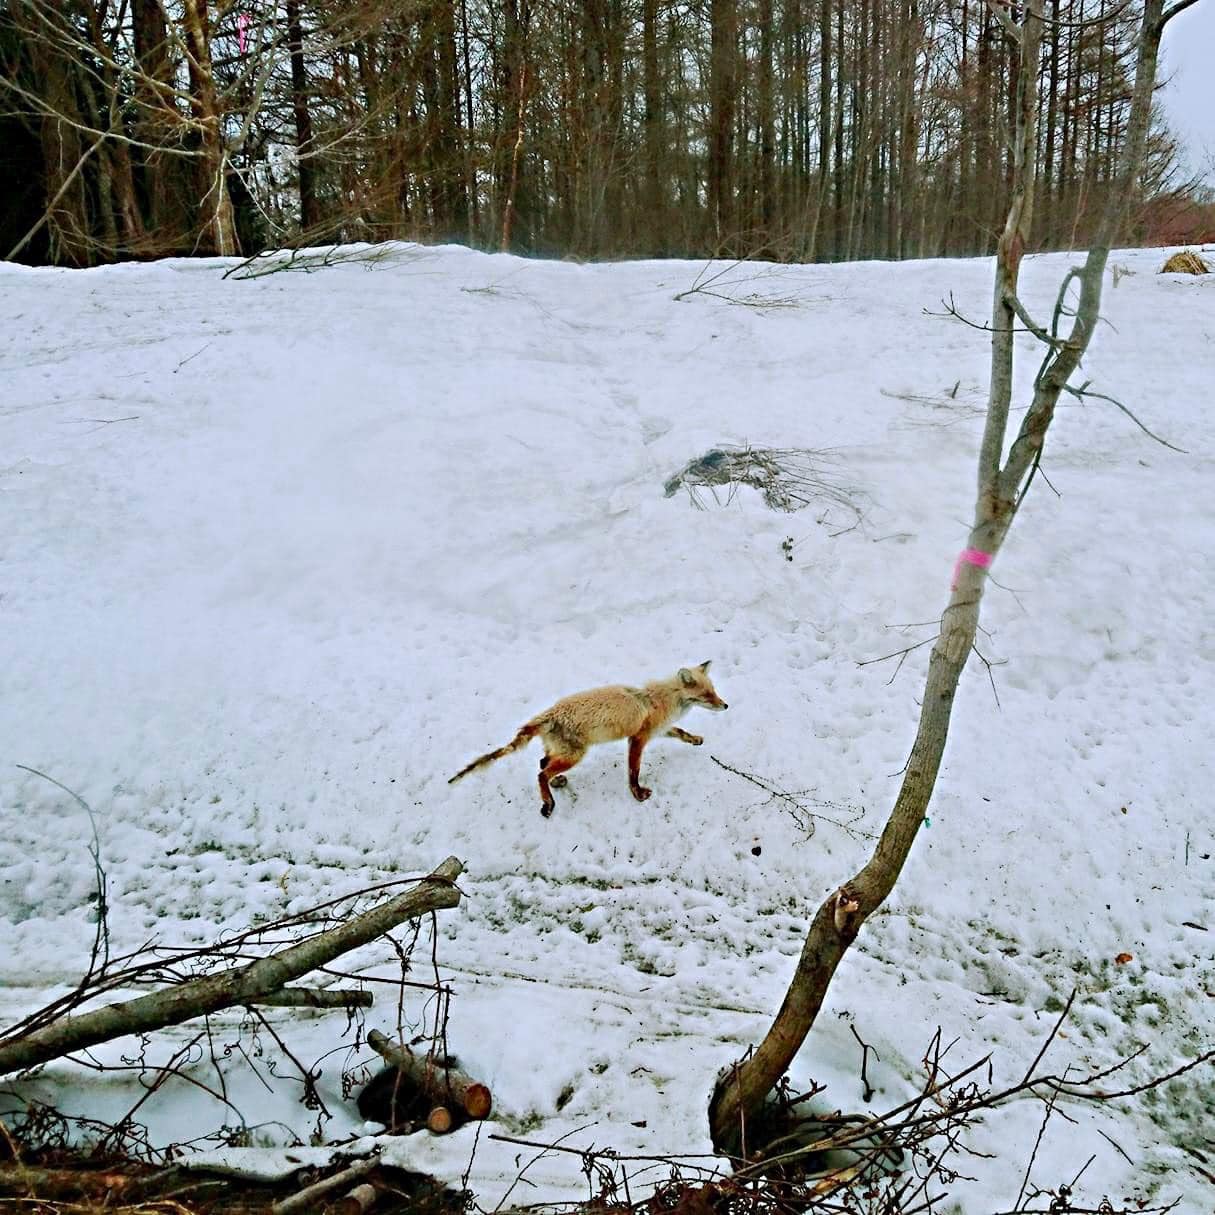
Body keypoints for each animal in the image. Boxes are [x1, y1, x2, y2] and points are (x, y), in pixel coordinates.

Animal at [451, 660, 724, 821]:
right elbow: (633, 771)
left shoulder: (657, 730)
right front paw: (636, 793)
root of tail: (548, 714)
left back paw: (556, 784)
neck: (659, 699)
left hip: (563, 752)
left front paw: (695, 739)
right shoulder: (638, 738)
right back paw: (548, 803)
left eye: (714, 691)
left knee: (542, 764)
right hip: (575, 755)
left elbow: (680, 732)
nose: (726, 705)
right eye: (707, 695)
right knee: (540, 773)